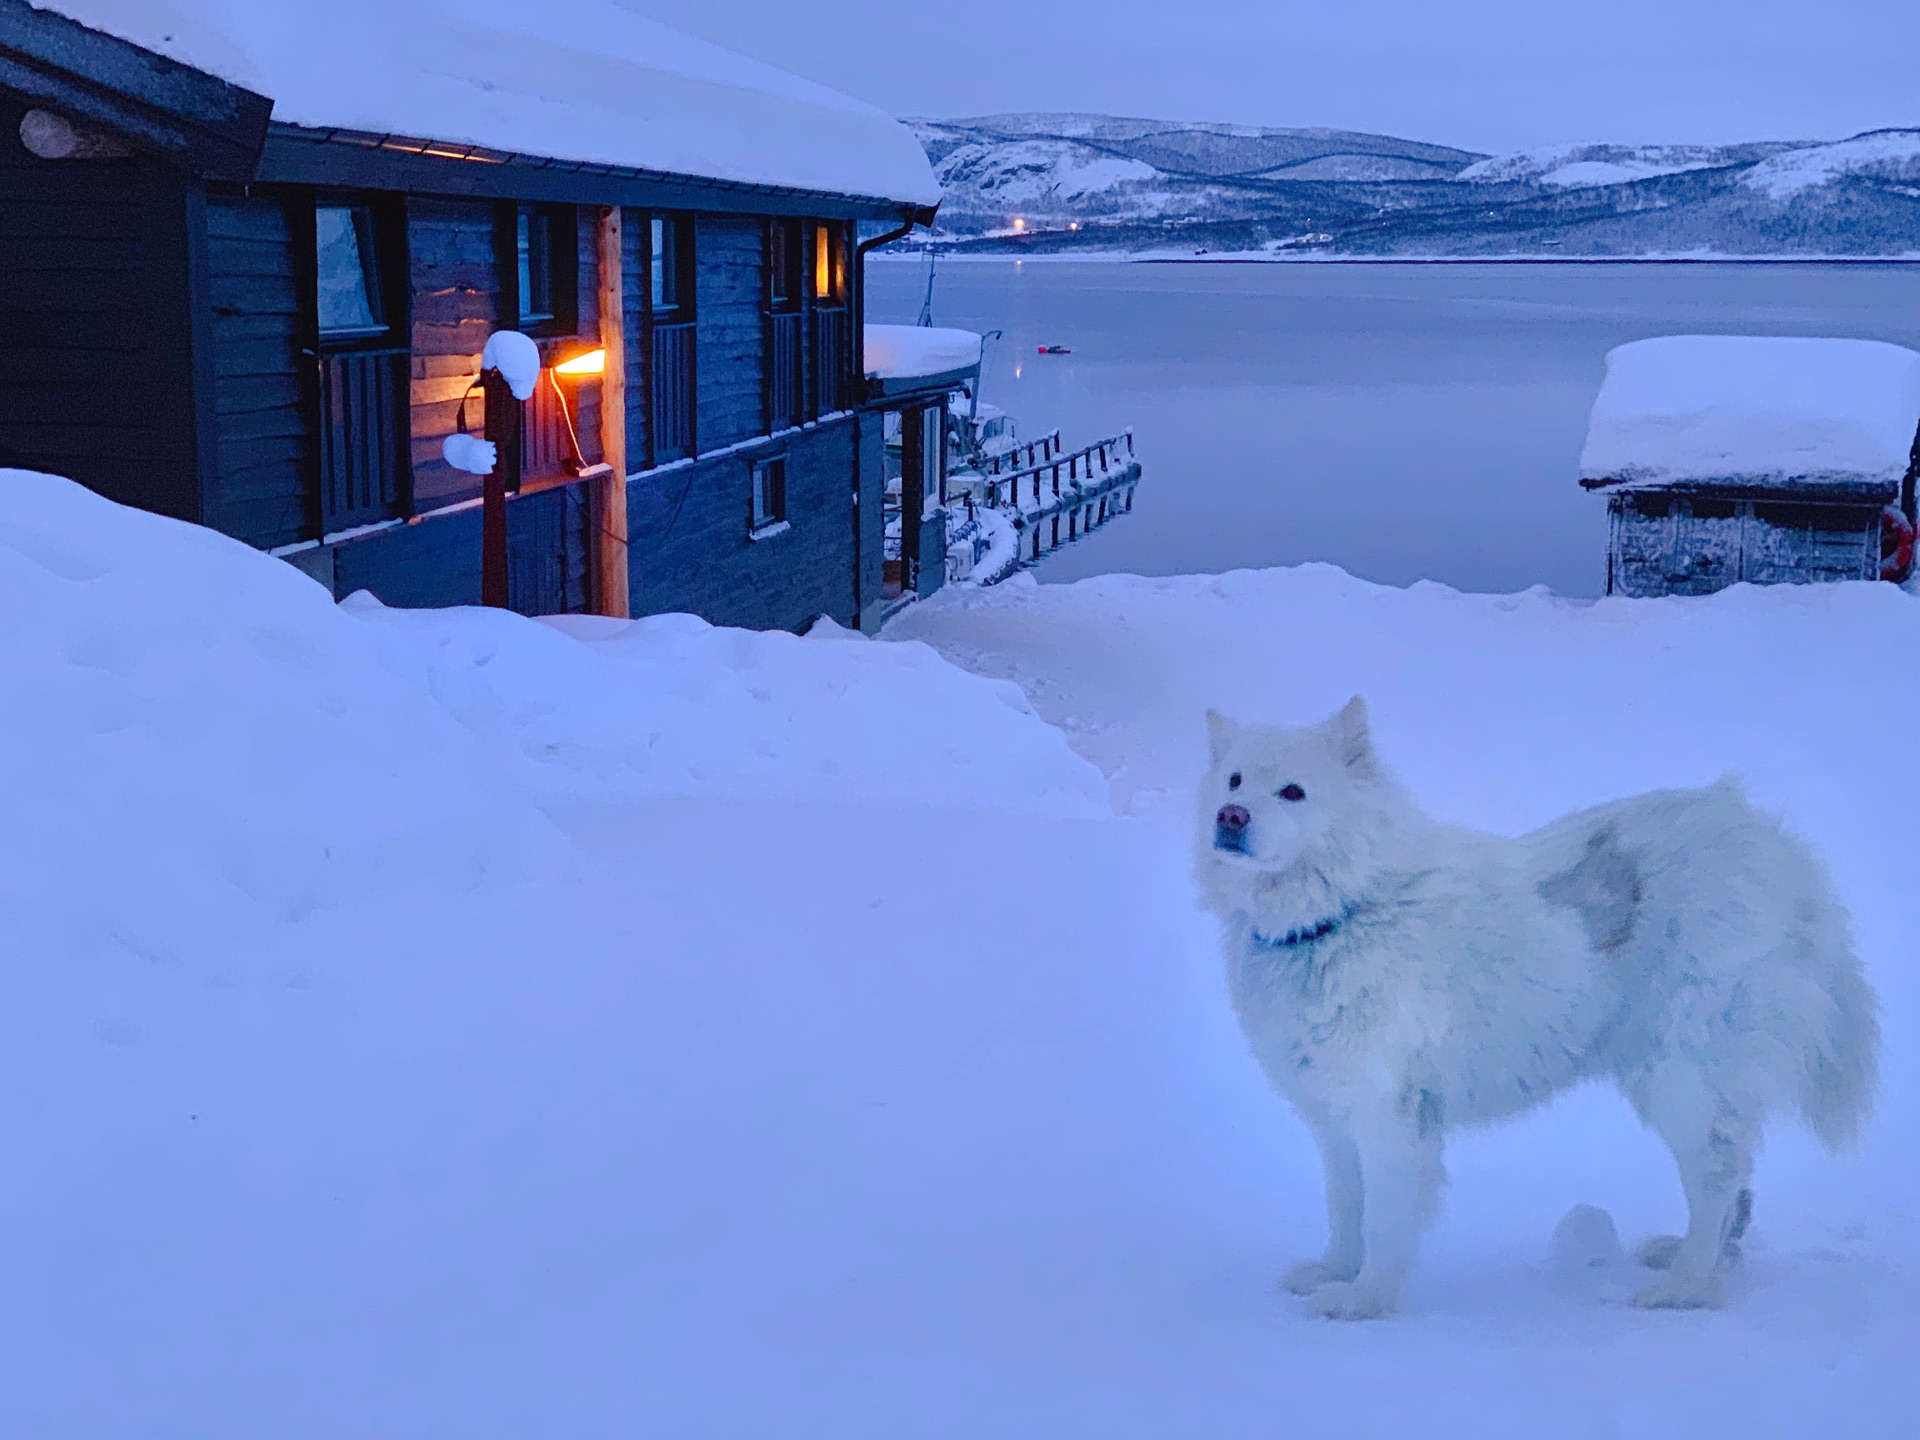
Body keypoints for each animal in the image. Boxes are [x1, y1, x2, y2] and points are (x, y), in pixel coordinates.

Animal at [1190, 698, 1881, 1320]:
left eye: (1294, 792)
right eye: (1235, 781)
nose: (1230, 816)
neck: (1344, 912)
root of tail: (1774, 847)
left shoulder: (1389, 1112)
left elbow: (1385, 1218)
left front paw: (1367, 1300)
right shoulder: (1333, 1116)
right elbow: (1345, 1206)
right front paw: (1333, 1271)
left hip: (1678, 1075)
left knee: (1716, 1176)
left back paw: (1688, 1285)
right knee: (1735, 1177)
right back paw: (1700, 1260)